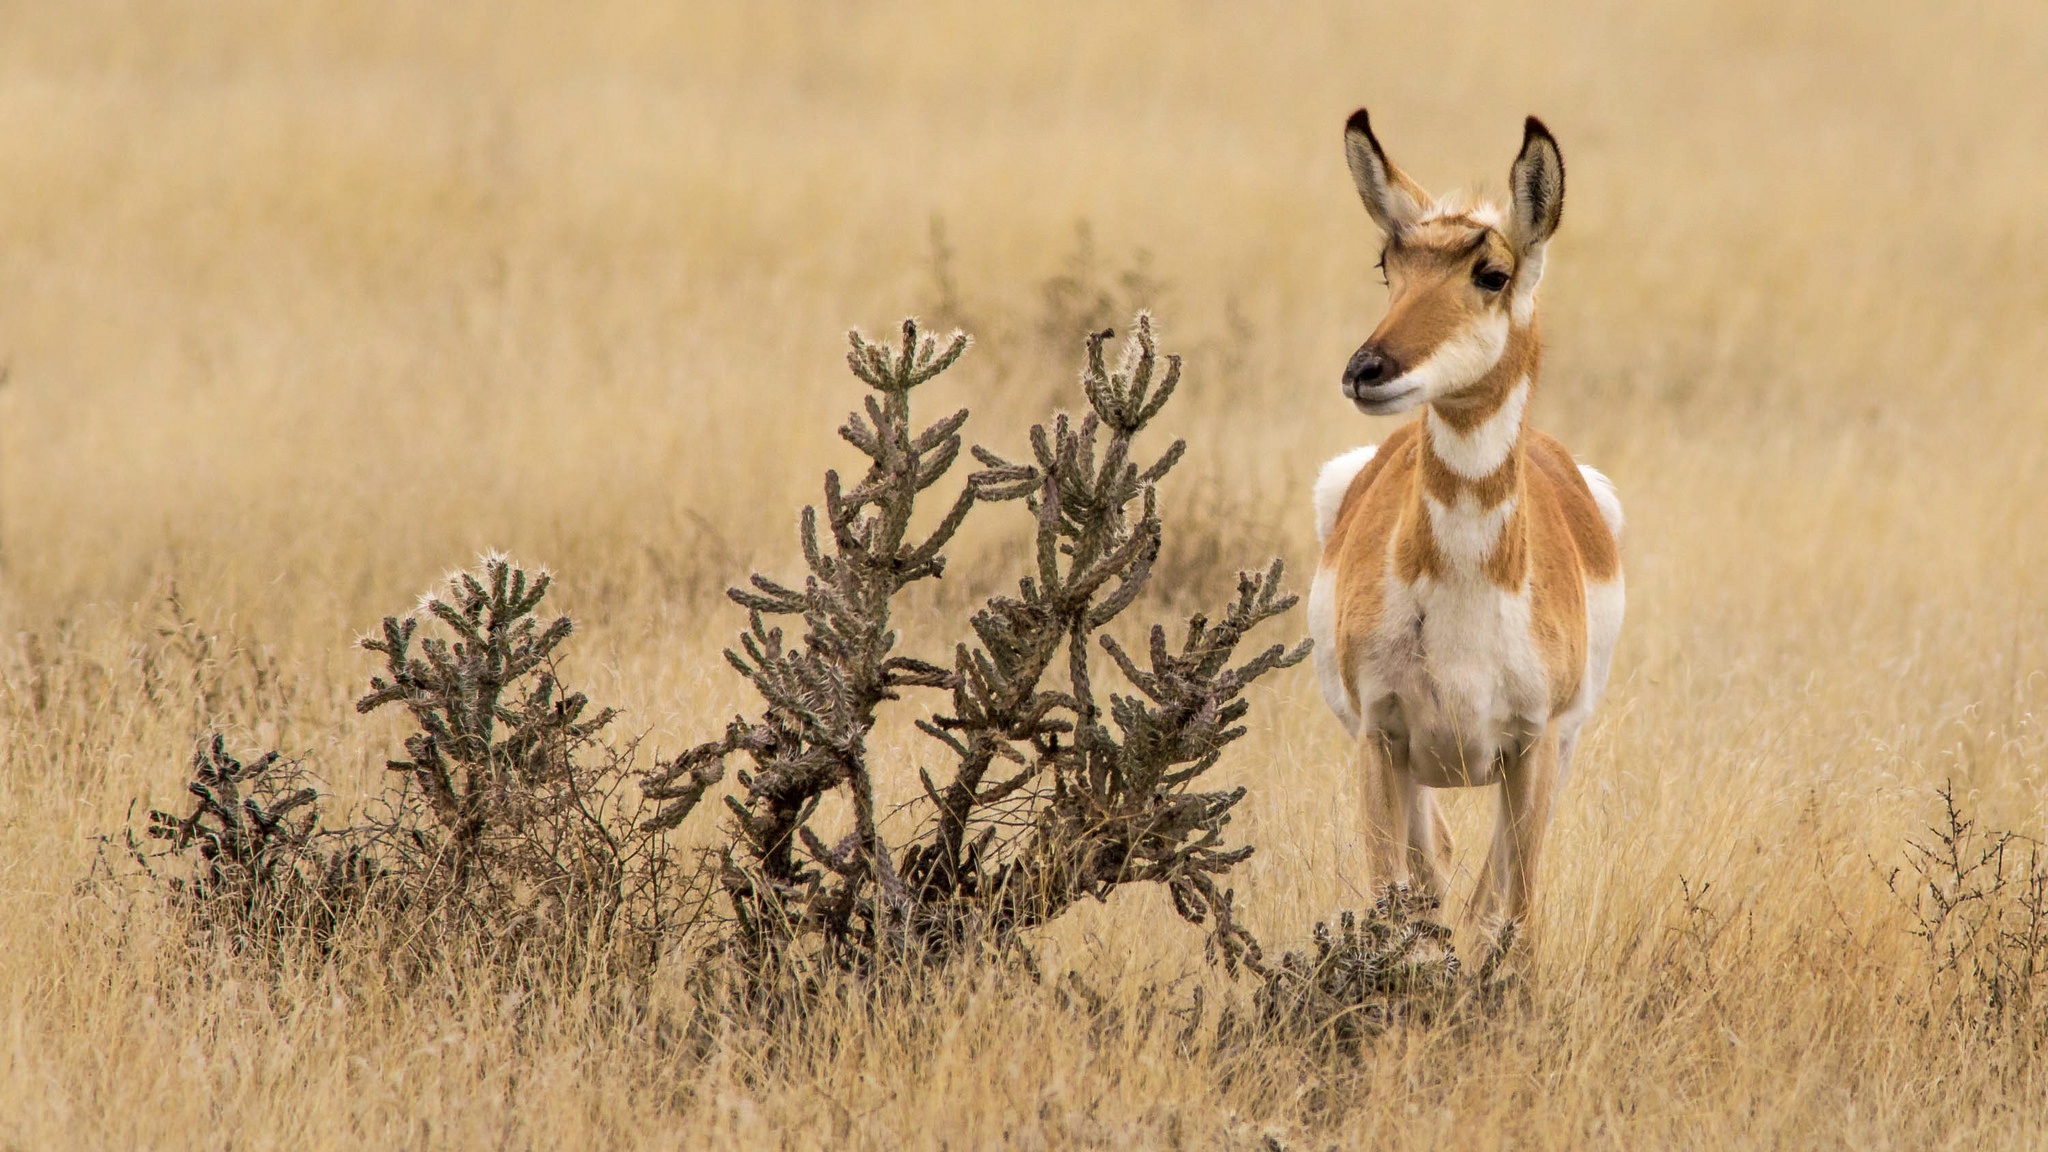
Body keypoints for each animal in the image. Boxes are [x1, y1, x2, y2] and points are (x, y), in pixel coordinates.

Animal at [1310, 105, 1630, 934]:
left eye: (1492, 273)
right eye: (1389, 267)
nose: (1367, 369)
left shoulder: (1534, 749)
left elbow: (1509, 915)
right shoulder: (1381, 741)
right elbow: (1400, 903)